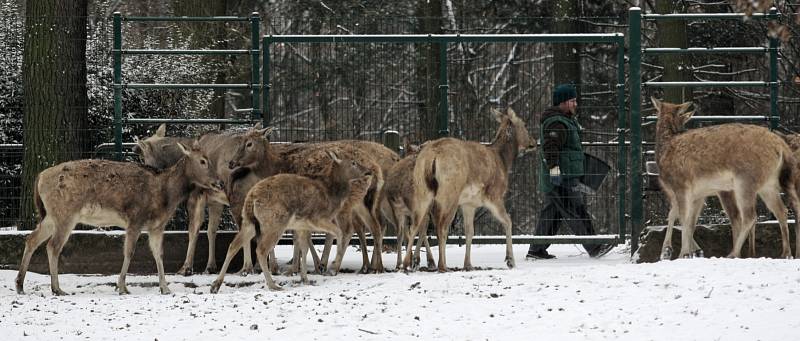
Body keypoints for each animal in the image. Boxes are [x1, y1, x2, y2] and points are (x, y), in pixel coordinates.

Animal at [16, 141, 222, 294]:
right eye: (203, 161)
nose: (218, 182)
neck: (166, 196)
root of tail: (40, 177)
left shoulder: (156, 226)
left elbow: (159, 254)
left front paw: (165, 288)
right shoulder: (135, 219)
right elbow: (129, 252)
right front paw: (122, 286)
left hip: (51, 215)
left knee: (32, 239)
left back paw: (20, 284)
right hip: (65, 213)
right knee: (53, 246)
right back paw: (56, 288)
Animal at [212, 151, 376, 292]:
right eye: (353, 162)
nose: (368, 171)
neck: (332, 195)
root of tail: (251, 198)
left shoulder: (302, 225)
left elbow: (304, 248)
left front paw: (305, 278)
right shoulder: (316, 217)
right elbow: (339, 233)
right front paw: (331, 267)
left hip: (248, 222)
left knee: (233, 245)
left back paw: (216, 285)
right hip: (275, 223)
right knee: (261, 249)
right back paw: (273, 285)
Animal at [404, 107, 536, 272]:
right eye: (524, 124)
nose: (533, 142)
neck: (504, 162)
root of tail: (431, 157)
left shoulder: (469, 203)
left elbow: (469, 231)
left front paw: (468, 264)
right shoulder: (494, 196)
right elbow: (508, 221)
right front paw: (510, 260)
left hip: (422, 190)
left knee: (415, 225)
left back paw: (406, 264)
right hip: (449, 193)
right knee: (441, 226)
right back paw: (442, 265)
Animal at [652, 97, 796, 258]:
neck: (664, 151)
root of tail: (781, 147)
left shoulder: (680, 185)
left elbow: (682, 217)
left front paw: (679, 252)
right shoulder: (697, 194)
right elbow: (686, 219)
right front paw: (688, 251)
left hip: (745, 180)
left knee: (749, 216)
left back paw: (733, 253)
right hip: (769, 184)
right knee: (781, 210)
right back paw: (786, 253)